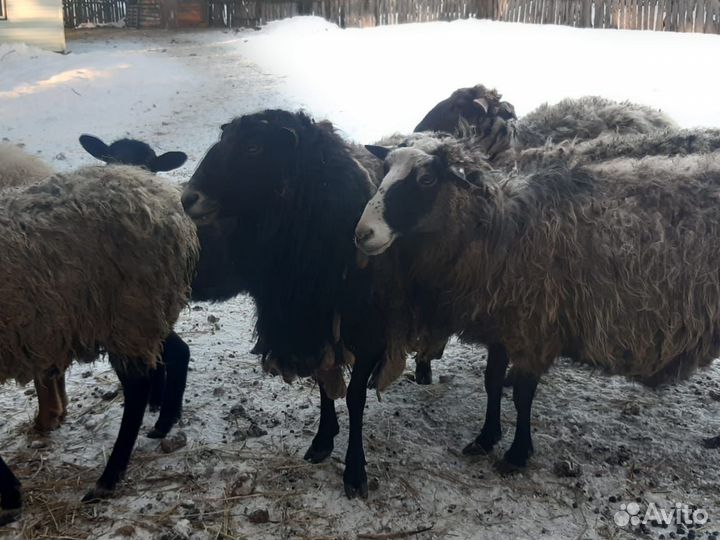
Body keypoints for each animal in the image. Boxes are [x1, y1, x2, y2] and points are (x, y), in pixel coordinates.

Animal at [0, 153, 198, 525]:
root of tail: (163, 199)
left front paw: (10, 496)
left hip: (127, 313)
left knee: (137, 389)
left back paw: (108, 478)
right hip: (145, 315)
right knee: (178, 352)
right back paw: (163, 423)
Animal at [356, 134, 720, 472]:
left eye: (427, 179)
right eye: (385, 169)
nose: (362, 234)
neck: (501, 231)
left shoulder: (535, 329)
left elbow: (522, 394)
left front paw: (517, 454)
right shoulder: (503, 324)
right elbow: (491, 383)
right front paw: (485, 438)